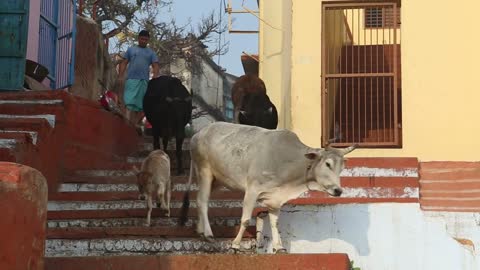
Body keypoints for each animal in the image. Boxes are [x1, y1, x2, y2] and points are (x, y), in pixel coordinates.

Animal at [180, 122, 356, 253]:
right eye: (328, 164)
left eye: (342, 168)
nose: (338, 190)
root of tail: (199, 133)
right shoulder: (252, 190)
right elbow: (245, 220)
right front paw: (235, 245)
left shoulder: (275, 199)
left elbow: (274, 223)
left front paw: (278, 247)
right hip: (205, 172)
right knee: (202, 201)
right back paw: (208, 234)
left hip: (216, 180)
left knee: (199, 199)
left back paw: (200, 231)